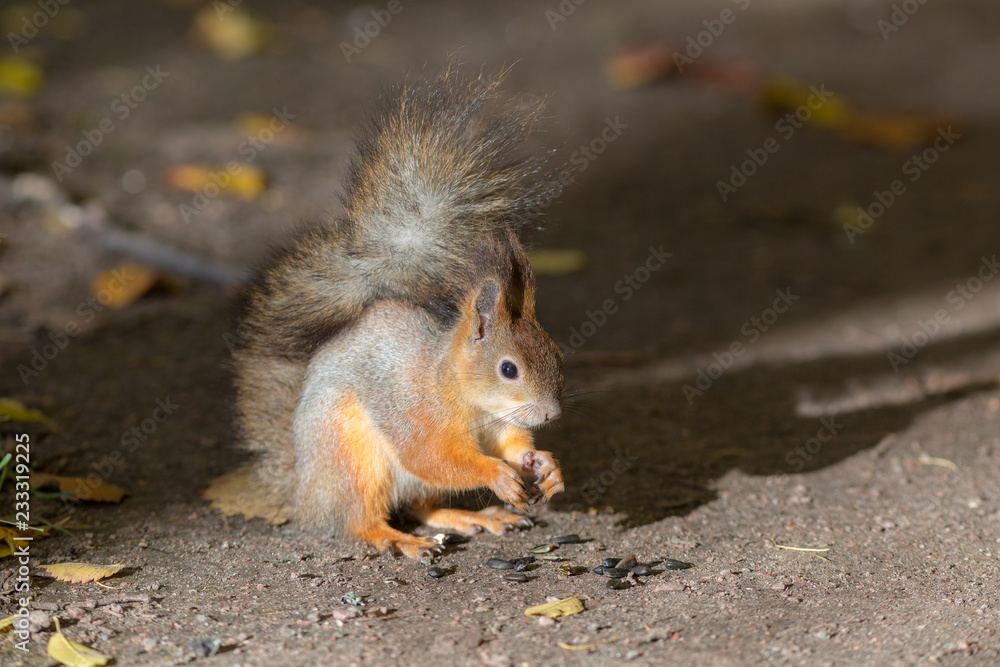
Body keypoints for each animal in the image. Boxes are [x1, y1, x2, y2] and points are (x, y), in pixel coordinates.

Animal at [229, 67, 566, 558]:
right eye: (509, 369)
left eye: (558, 355)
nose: (550, 415)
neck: (462, 392)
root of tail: (305, 490)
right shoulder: (417, 414)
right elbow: (436, 458)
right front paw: (497, 475)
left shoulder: (500, 427)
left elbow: (512, 447)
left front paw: (544, 463)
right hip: (354, 459)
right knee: (359, 519)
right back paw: (396, 538)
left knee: (424, 507)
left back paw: (473, 517)